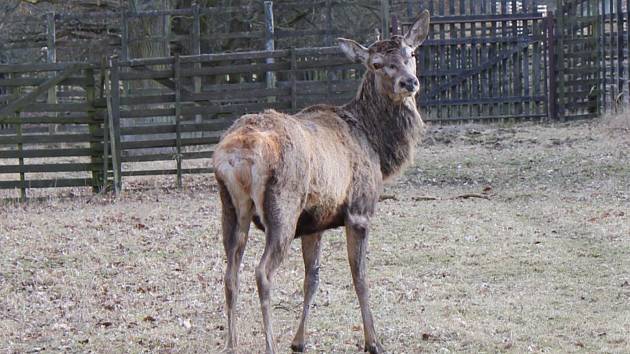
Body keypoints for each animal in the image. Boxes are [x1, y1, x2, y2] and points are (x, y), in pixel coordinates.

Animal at [215, 11, 432, 354]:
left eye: (410, 54)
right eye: (376, 64)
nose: (408, 82)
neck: (377, 145)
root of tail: (237, 153)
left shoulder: (313, 223)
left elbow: (312, 279)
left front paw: (299, 341)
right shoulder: (359, 211)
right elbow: (360, 277)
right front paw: (373, 341)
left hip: (231, 209)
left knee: (229, 274)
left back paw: (231, 344)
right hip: (282, 209)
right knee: (262, 273)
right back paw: (269, 344)